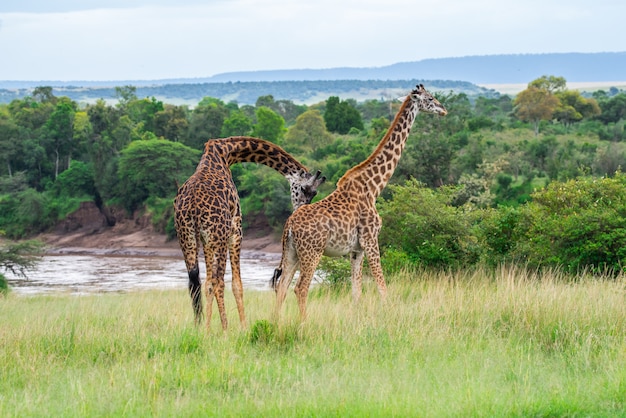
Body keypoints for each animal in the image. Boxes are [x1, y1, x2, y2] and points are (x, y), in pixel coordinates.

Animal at [174, 136, 324, 330]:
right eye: (306, 190)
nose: (300, 209)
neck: (227, 153)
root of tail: (192, 208)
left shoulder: (206, 239)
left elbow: (207, 282)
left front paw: (208, 326)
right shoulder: (236, 227)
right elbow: (237, 283)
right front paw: (244, 326)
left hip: (187, 237)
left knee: (196, 282)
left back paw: (200, 327)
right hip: (218, 237)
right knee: (218, 282)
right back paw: (225, 328)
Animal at [270, 85, 446, 320]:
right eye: (430, 98)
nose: (444, 110)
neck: (373, 187)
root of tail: (288, 225)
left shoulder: (356, 249)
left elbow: (357, 291)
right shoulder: (371, 240)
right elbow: (381, 285)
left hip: (291, 252)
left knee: (281, 287)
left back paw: (276, 323)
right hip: (312, 251)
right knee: (300, 288)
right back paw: (303, 324)